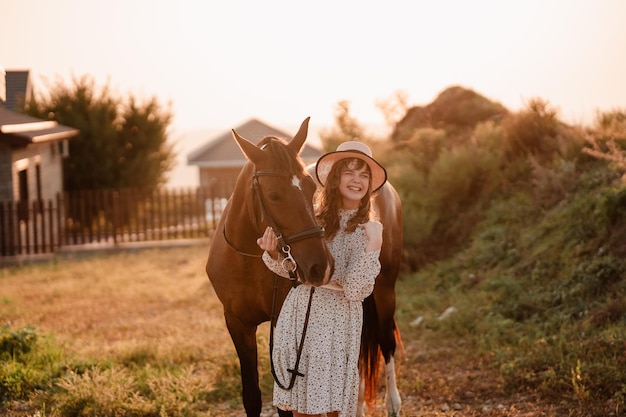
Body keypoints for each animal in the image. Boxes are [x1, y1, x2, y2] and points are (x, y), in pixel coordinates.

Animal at [205, 118, 332, 416]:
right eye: (273, 195)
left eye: (311, 189)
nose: (320, 266)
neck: (247, 262)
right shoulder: (236, 323)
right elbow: (251, 395)